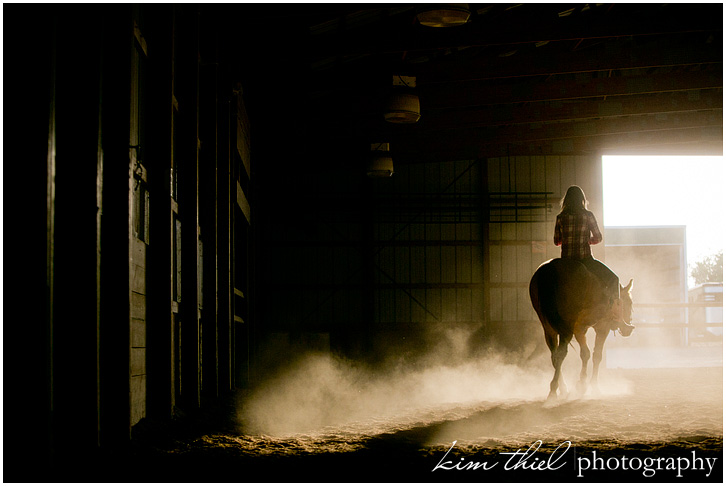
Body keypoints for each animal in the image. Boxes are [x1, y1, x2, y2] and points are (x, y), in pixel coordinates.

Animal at [528, 258, 636, 398]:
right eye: (629, 303)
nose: (628, 329)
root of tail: (551, 267)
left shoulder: (579, 328)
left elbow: (585, 353)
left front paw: (582, 384)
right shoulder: (603, 327)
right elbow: (597, 355)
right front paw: (593, 386)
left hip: (549, 328)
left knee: (554, 356)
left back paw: (562, 388)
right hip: (566, 327)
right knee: (561, 354)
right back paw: (553, 389)